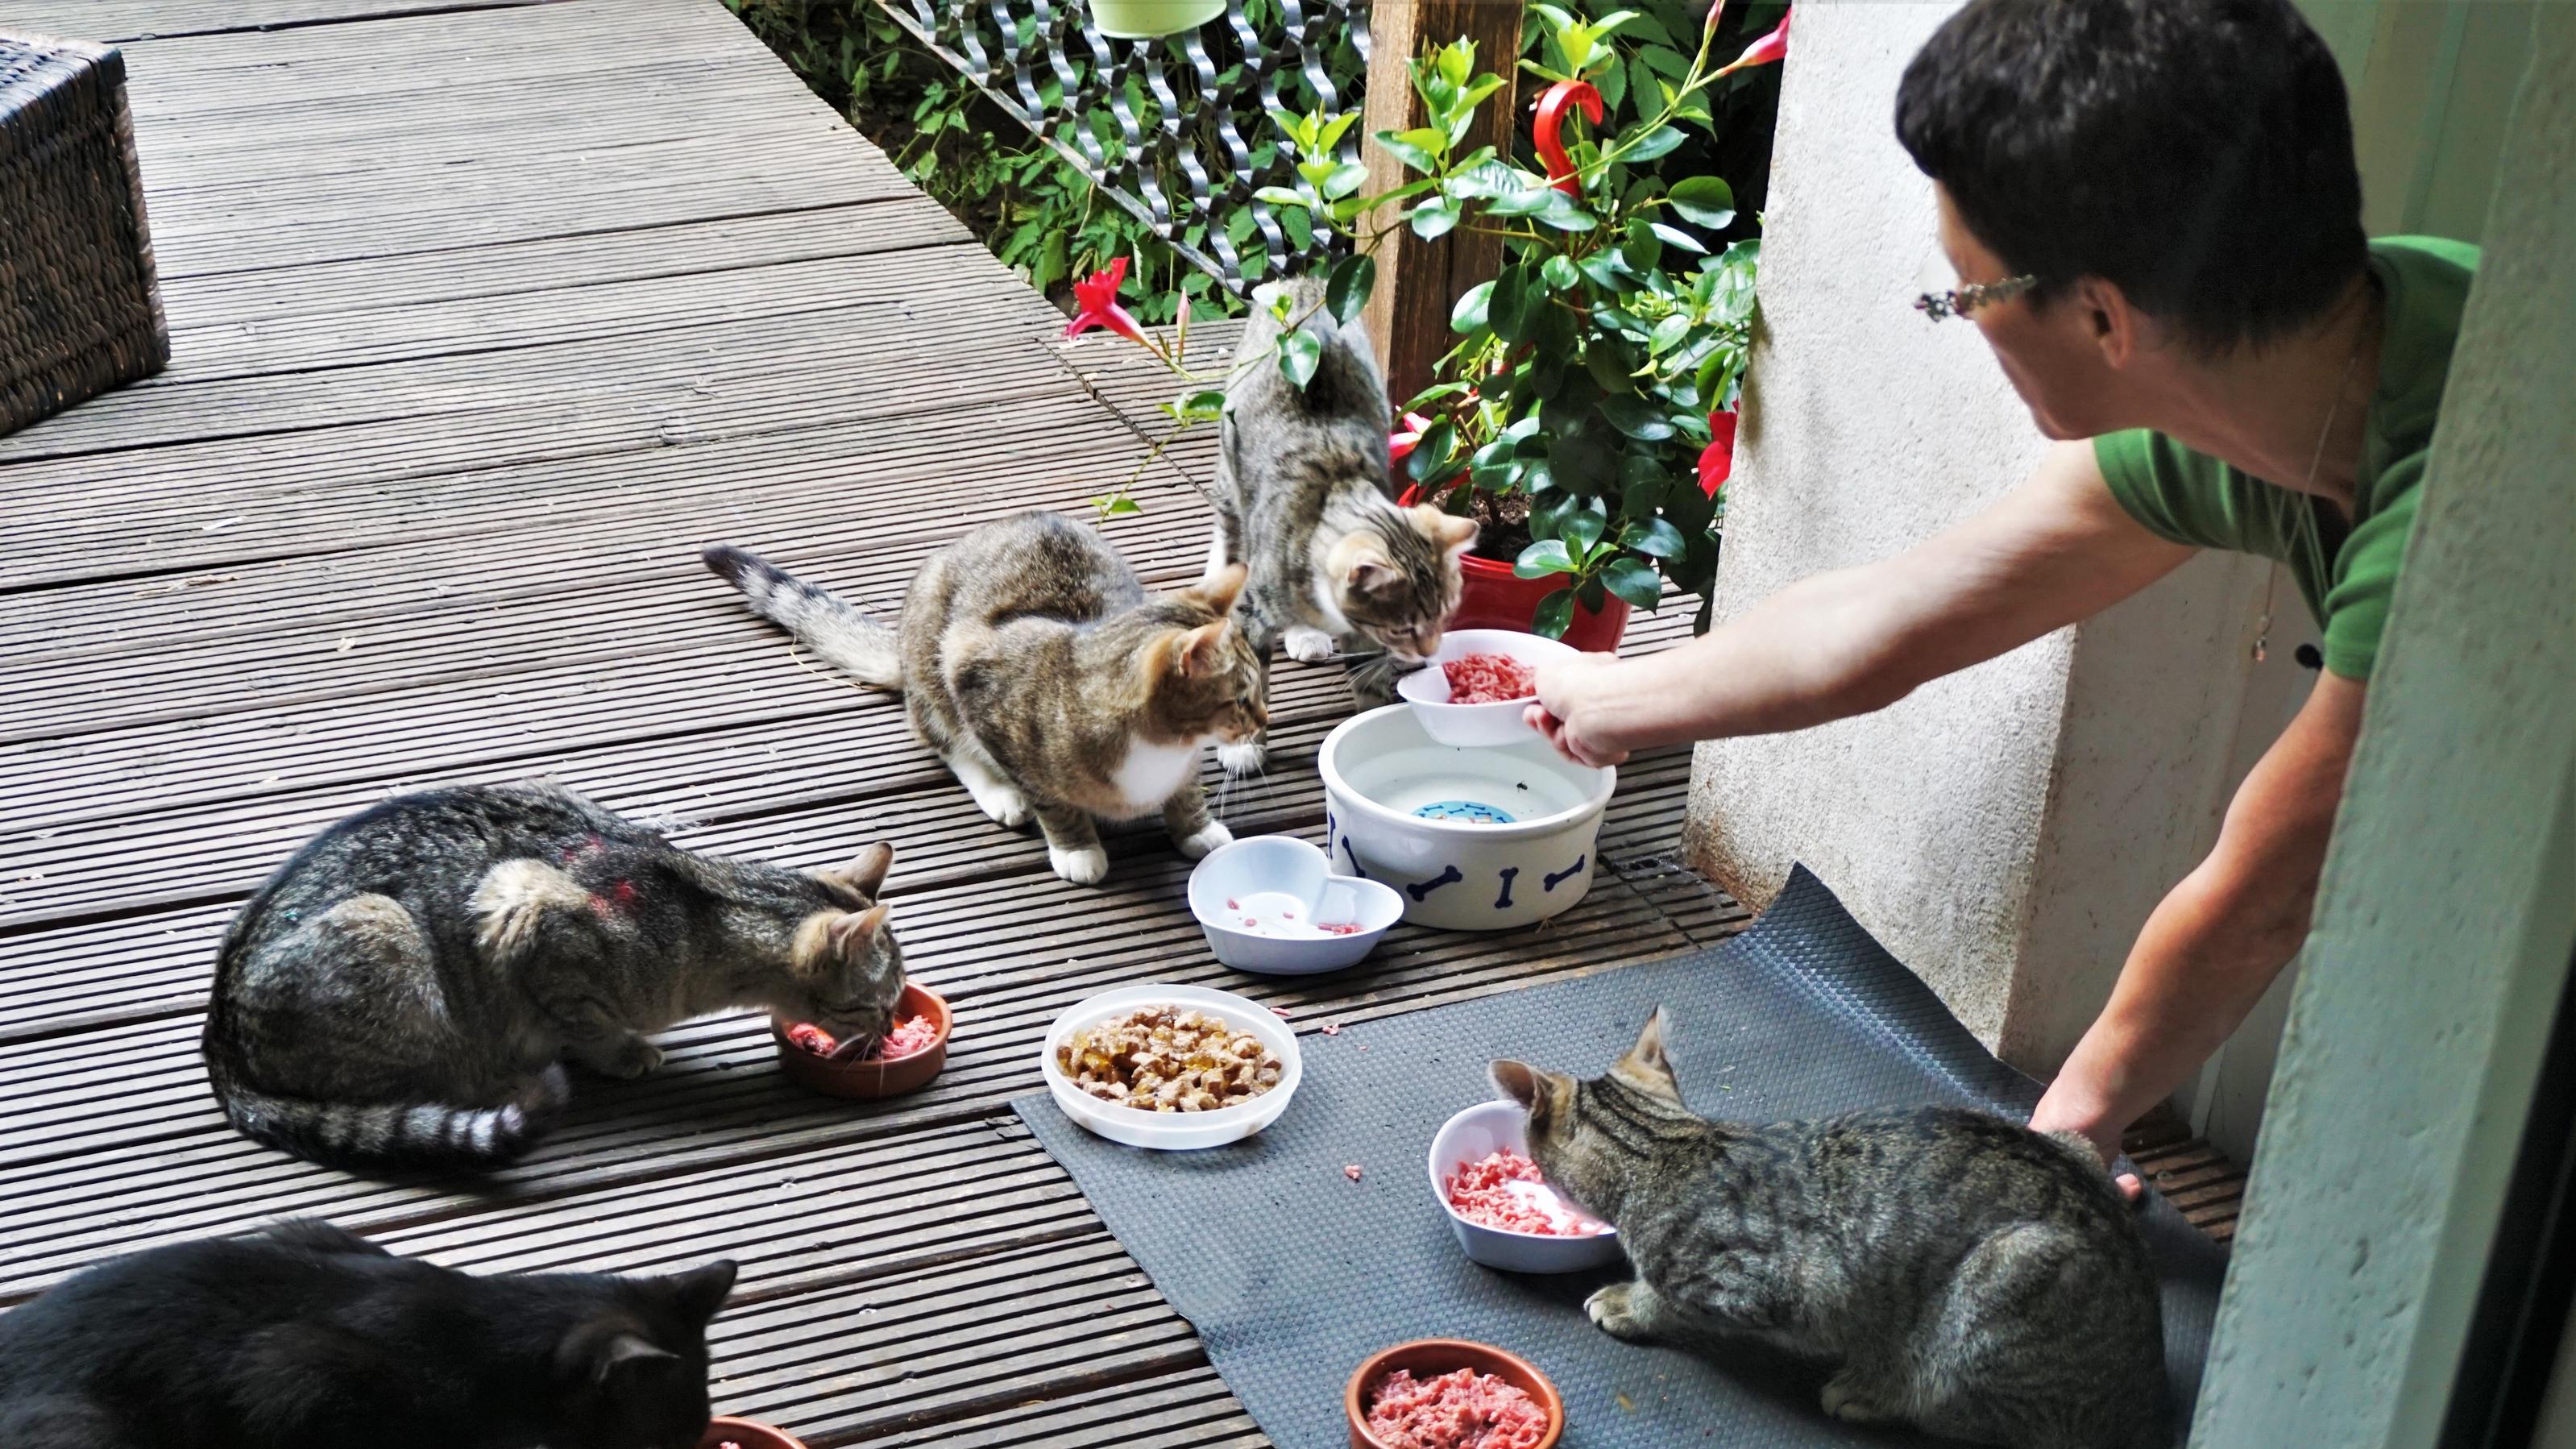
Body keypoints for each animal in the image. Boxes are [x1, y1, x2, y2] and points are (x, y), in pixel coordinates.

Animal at [201, 778, 906, 1160]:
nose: (892, 1028)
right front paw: (623, 1052)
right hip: (385, 935)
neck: (701, 909)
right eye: (878, 1004)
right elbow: (584, 1021)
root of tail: (219, 1033)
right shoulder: (523, 915)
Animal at [705, 513, 1267, 886]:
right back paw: (999, 794)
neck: (1160, 749)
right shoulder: (975, 679)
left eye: (1262, 688)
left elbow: (1185, 790)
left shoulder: (1183, 765)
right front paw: (1077, 846)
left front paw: (1196, 828)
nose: (1263, 720)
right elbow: (1048, 799)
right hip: (932, 665)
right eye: (1241, 699)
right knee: (943, 739)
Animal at [1215, 270, 1483, 768]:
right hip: (1230, 471)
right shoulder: (1253, 609)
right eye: (1404, 628)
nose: (1429, 651)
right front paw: (1243, 746)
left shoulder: (1363, 636)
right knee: (1228, 532)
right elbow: (1249, 678)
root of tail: (1302, 281)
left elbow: (1368, 678)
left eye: (1444, 618)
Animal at [1494, 1005, 2174, 1443]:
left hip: (2004, 1280)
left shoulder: (1771, 1285)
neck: (1665, 1148)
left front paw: (1628, 1303)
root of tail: (2148, 1391)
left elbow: (1669, 1300)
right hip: (2069, 1145)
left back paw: (1875, 1392)